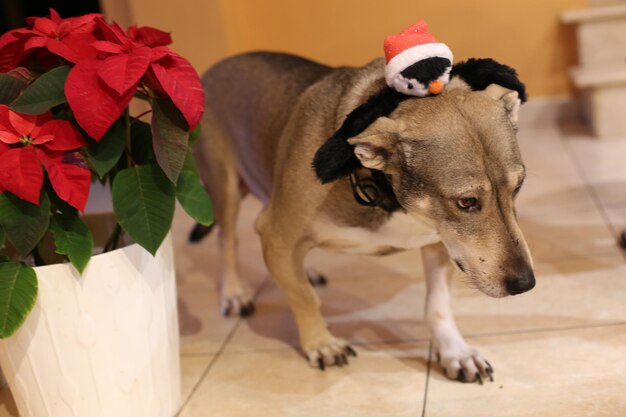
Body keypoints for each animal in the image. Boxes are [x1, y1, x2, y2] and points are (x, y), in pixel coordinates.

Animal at [190, 50, 532, 382]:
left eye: (519, 186)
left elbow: (438, 305)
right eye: (466, 202)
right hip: (224, 187)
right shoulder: (276, 234)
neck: (390, 197)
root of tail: (216, 67)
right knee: (228, 238)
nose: (526, 284)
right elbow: (303, 296)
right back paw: (234, 294)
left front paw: (455, 353)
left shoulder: (442, 242)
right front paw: (322, 344)